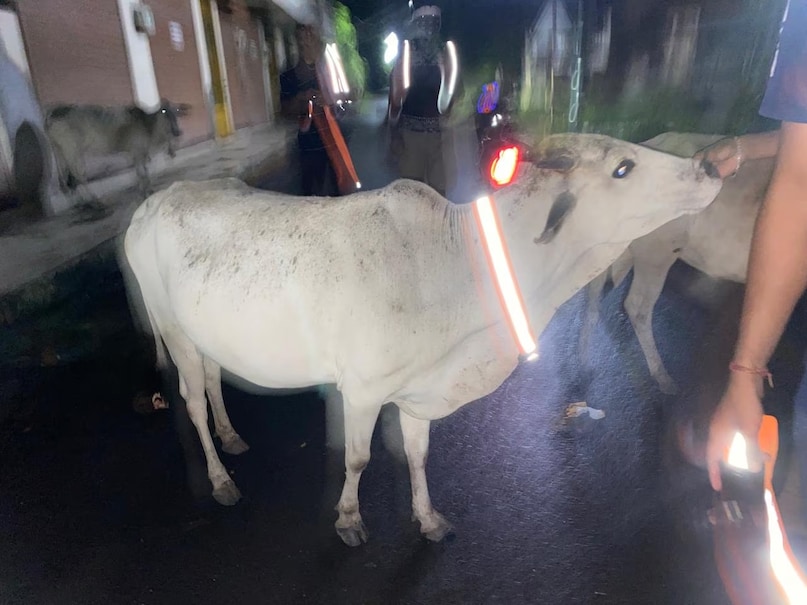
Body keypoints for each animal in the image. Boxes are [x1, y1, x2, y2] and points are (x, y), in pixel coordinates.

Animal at [45, 99, 188, 198]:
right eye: (163, 111)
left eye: (177, 111)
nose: (177, 132)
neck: (148, 126)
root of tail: (53, 113)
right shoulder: (137, 151)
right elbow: (141, 172)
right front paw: (145, 191)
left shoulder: (139, 153)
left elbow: (143, 171)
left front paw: (146, 189)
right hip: (72, 150)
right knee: (78, 174)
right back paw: (94, 200)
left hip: (58, 150)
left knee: (65, 177)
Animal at [123, 133, 721, 546]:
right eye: (624, 168)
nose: (711, 165)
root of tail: (151, 203)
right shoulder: (363, 389)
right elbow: (359, 459)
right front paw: (348, 519)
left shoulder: (419, 392)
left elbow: (418, 453)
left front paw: (428, 518)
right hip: (172, 328)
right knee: (191, 402)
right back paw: (221, 479)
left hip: (203, 334)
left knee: (213, 384)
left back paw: (232, 436)